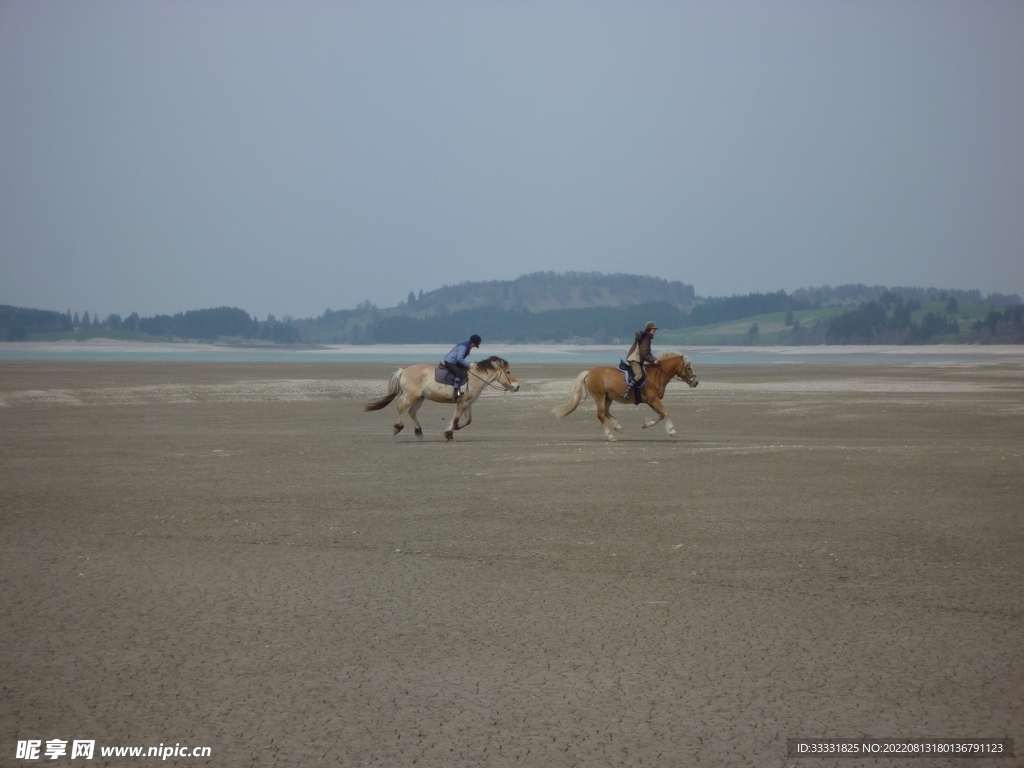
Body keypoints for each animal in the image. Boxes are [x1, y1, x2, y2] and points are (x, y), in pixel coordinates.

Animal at [365, 355, 520, 441]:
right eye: (508, 372)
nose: (517, 386)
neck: (475, 377)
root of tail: (403, 371)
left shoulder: (468, 403)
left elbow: (468, 420)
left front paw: (453, 428)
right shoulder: (462, 403)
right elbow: (457, 418)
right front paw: (449, 433)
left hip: (420, 398)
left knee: (412, 412)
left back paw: (419, 431)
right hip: (412, 397)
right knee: (400, 408)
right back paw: (398, 427)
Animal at [551, 352, 698, 441]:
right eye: (688, 368)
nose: (696, 382)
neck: (657, 375)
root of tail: (589, 373)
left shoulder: (651, 402)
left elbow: (662, 415)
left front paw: (647, 424)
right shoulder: (653, 400)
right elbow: (667, 412)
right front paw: (672, 430)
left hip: (608, 398)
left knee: (606, 412)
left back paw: (618, 426)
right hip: (600, 397)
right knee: (601, 415)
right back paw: (610, 435)